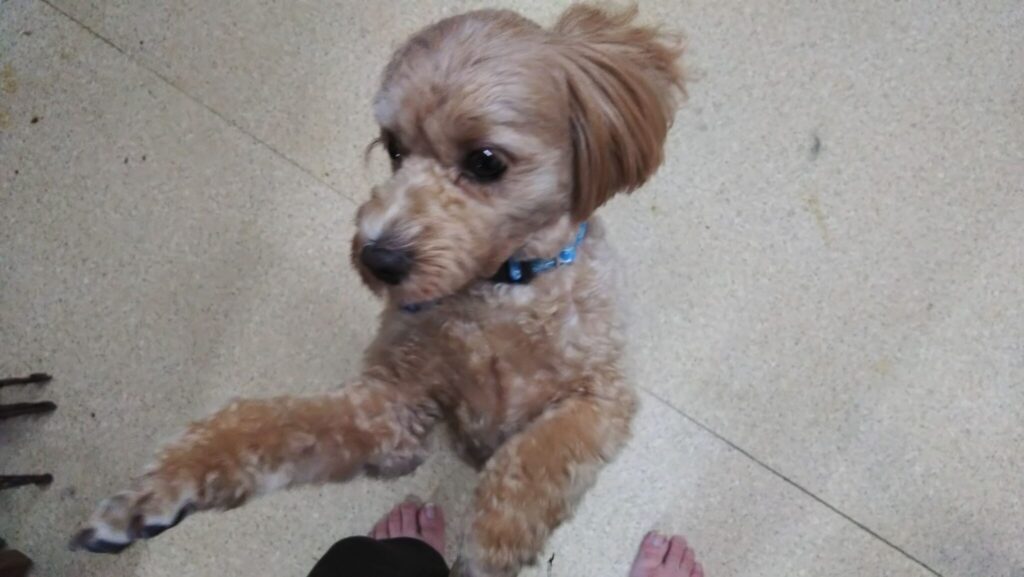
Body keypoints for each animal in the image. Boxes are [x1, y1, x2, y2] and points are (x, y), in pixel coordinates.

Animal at [72, 5, 684, 575]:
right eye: (393, 148)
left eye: (486, 161)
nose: (377, 258)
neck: (499, 292)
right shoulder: (394, 412)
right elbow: (275, 423)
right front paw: (159, 489)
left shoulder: (600, 398)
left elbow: (535, 456)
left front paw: (492, 543)